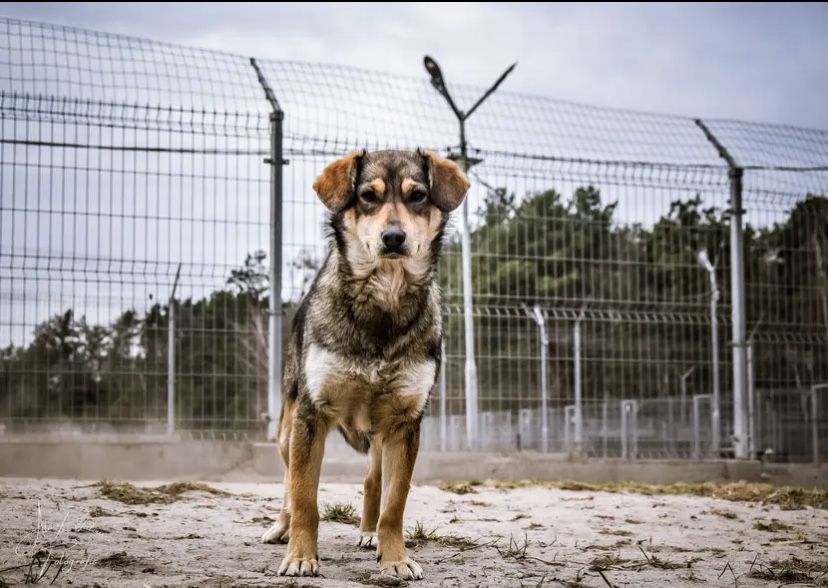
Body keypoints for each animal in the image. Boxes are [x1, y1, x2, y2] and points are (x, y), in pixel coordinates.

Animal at [264, 148, 472, 580]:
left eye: (418, 196)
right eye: (368, 197)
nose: (393, 238)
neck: (384, 298)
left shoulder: (405, 424)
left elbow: (395, 503)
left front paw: (395, 558)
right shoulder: (311, 416)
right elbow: (305, 497)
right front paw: (301, 557)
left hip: (378, 434)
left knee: (372, 479)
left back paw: (369, 533)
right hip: (287, 430)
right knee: (289, 483)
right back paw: (281, 527)